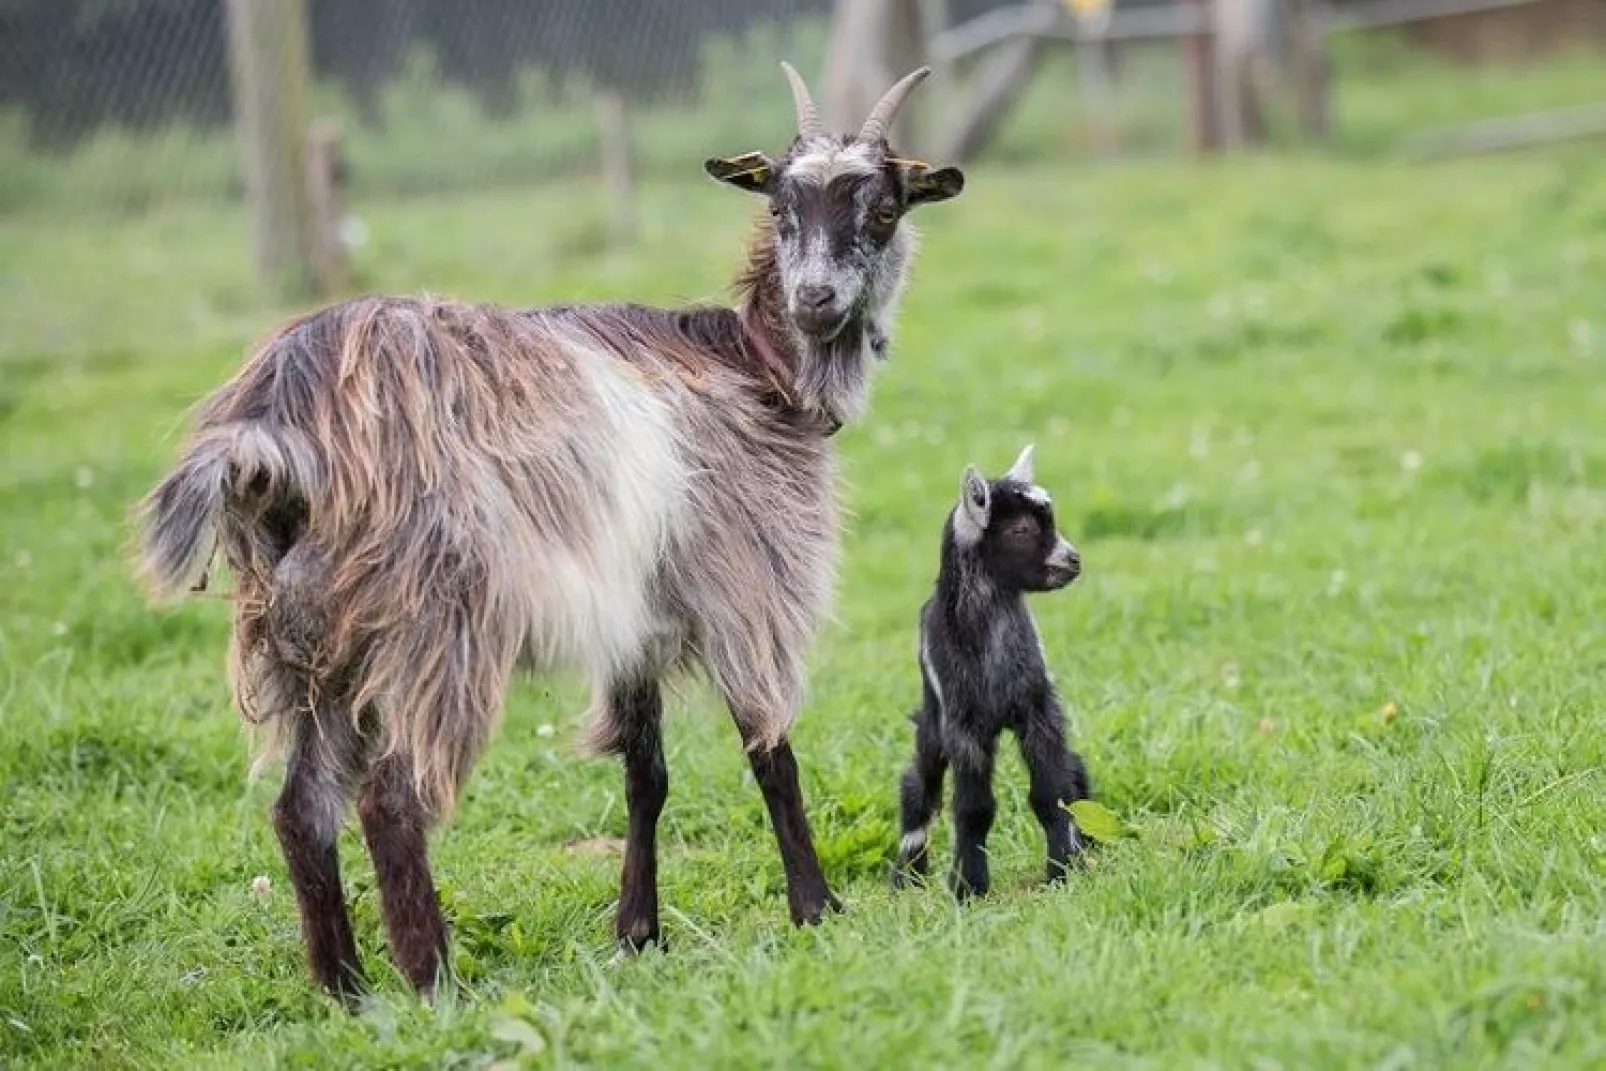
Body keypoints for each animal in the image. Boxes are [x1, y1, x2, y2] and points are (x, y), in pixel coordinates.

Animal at [892, 449, 1092, 899]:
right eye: (1020, 529)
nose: (1073, 560)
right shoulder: (963, 726)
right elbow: (974, 808)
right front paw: (968, 886)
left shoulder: (1039, 710)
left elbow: (1053, 792)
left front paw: (1065, 869)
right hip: (933, 723)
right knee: (919, 786)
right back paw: (905, 876)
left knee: (1076, 771)